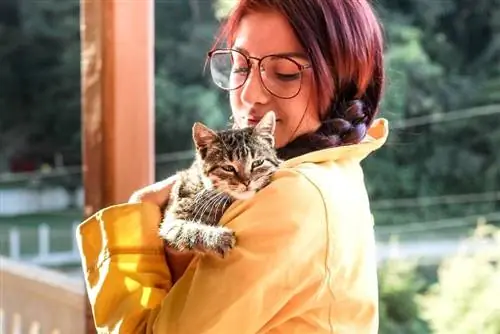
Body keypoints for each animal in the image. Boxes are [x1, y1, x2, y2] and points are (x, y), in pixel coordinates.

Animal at [159, 111, 282, 258]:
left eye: (257, 163)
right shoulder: (171, 221)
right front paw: (218, 238)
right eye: (228, 168)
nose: (247, 182)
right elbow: (188, 230)